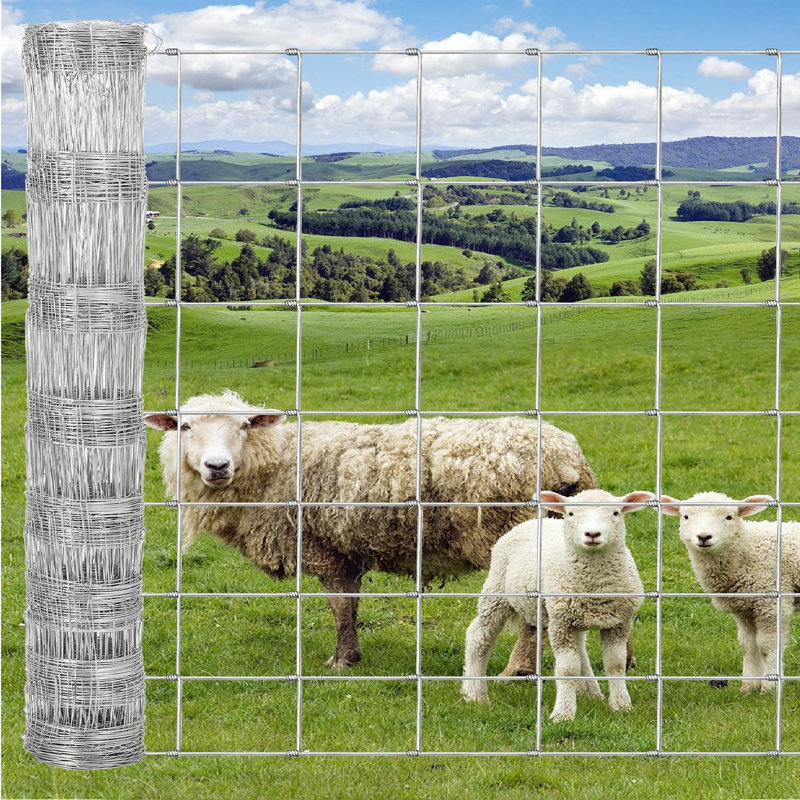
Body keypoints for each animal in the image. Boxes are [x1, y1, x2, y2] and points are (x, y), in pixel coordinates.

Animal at [145, 390, 598, 670]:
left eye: (243, 427)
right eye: (185, 428)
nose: (216, 466)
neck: (274, 464)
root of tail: (566, 458)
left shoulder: (321, 547)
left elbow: (340, 607)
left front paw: (342, 661)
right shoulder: (346, 549)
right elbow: (351, 605)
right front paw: (352, 655)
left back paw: (519, 668)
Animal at [461, 489, 652, 722]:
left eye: (616, 512)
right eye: (570, 513)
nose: (592, 534)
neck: (595, 588)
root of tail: (535, 521)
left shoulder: (619, 623)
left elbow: (615, 664)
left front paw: (621, 705)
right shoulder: (561, 623)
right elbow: (568, 669)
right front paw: (563, 714)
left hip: (571, 615)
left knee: (581, 651)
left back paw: (592, 693)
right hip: (498, 590)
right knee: (479, 635)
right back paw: (474, 693)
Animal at [661, 492, 800, 694]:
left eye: (729, 517)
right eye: (685, 517)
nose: (704, 536)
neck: (748, 549)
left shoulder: (771, 605)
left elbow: (767, 646)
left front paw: (769, 687)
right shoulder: (745, 609)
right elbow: (748, 646)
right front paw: (749, 687)